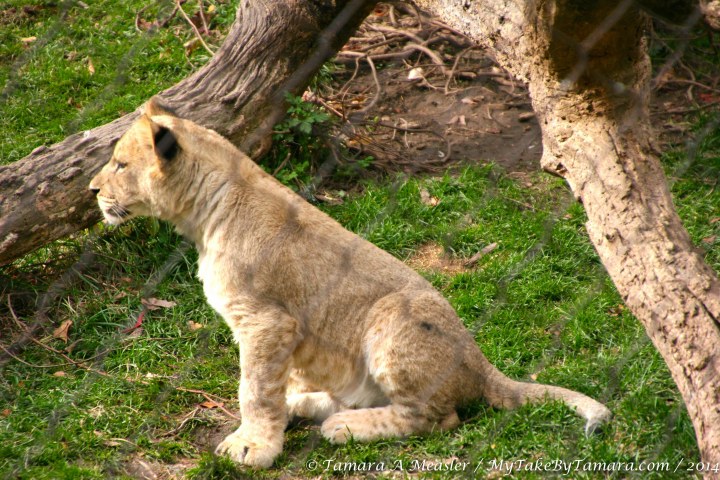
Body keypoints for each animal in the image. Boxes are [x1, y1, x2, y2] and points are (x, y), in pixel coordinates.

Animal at [89, 98, 611, 468]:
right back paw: (307, 404)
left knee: (436, 417)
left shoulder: (266, 322)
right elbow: (270, 384)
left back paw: (344, 426)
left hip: (392, 318)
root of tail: (482, 363)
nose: (92, 191)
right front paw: (271, 425)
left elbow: (254, 388)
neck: (203, 216)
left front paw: (252, 447)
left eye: (119, 165)